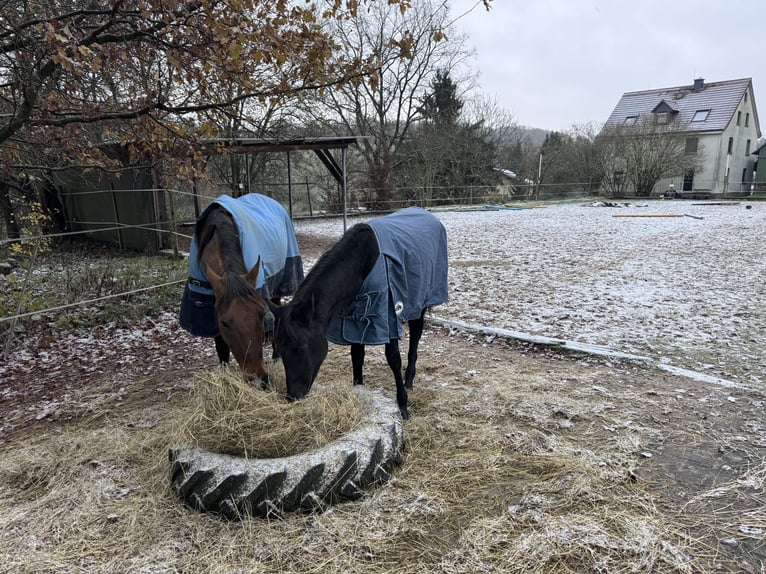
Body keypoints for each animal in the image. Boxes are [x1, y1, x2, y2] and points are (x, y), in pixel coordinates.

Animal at [272, 207, 448, 418]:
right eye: (279, 350)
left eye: (301, 348)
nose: (293, 396)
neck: (363, 263)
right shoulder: (353, 320)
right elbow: (357, 356)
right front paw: (359, 390)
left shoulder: (387, 318)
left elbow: (393, 359)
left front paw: (403, 406)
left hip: (418, 303)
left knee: (415, 336)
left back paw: (409, 381)